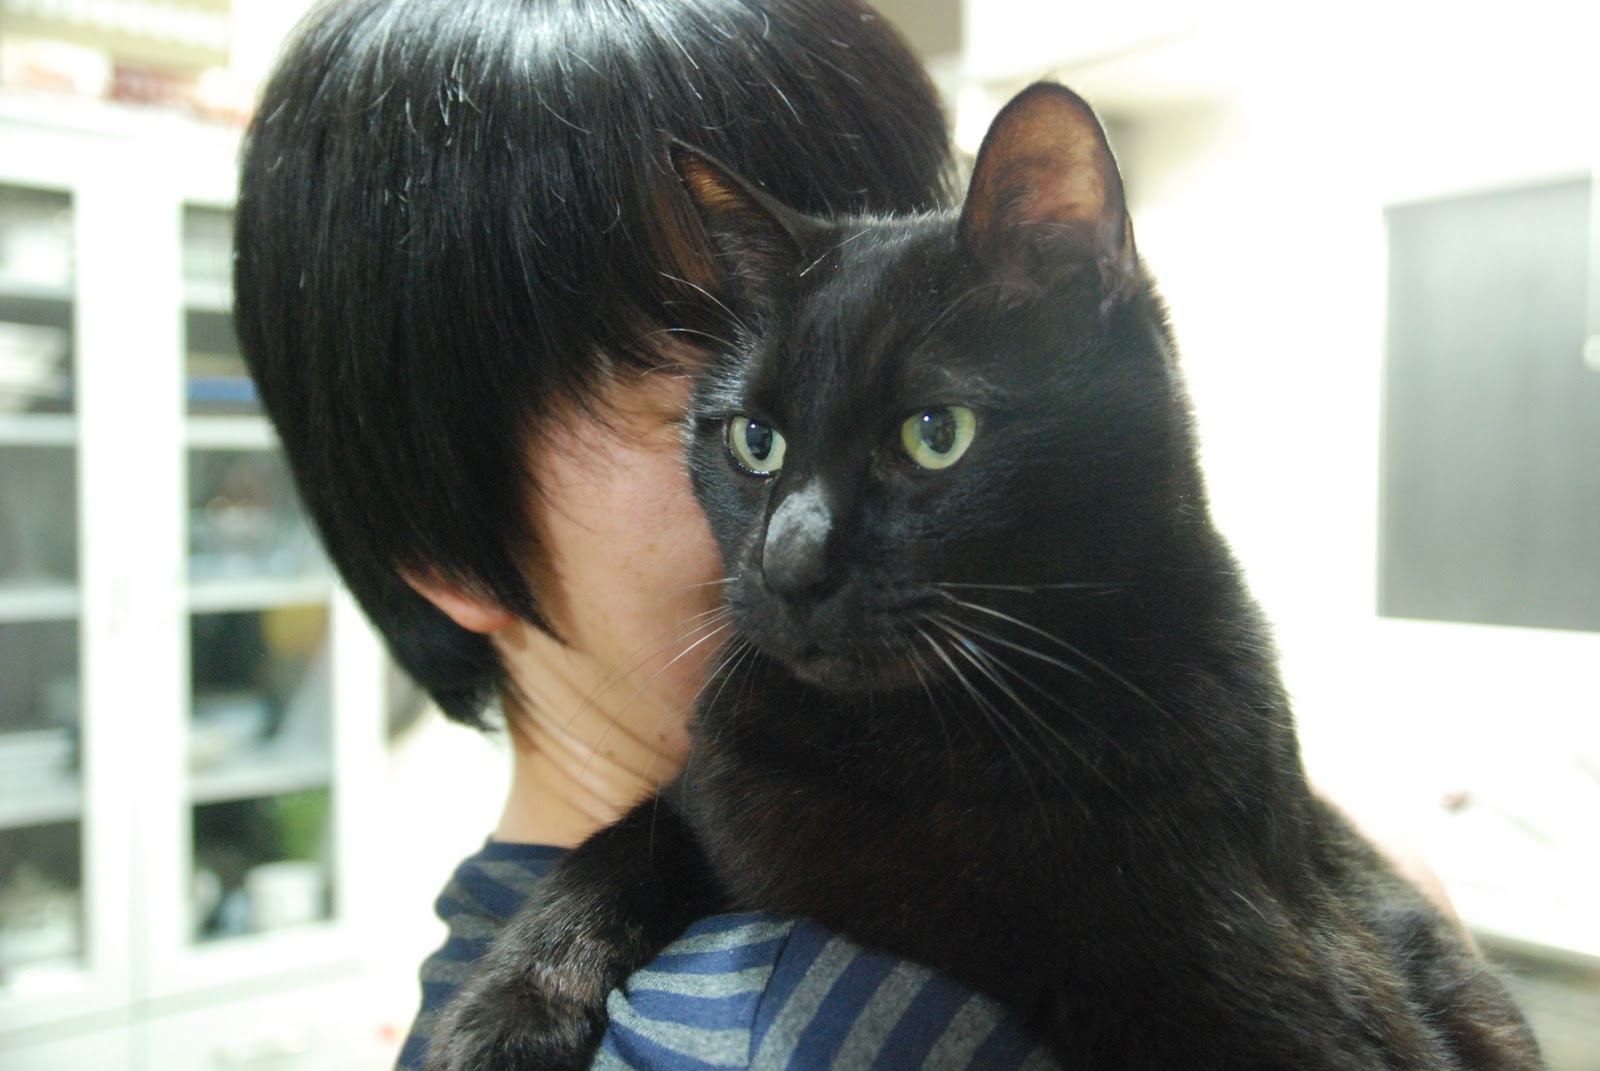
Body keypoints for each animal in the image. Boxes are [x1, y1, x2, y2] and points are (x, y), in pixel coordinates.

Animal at [425, 82, 1543, 1070]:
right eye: (752, 439)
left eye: (936, 434)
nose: (789, 563)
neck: (919, 744)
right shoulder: (717, 797)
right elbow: (614, 846)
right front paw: (502, 1012)